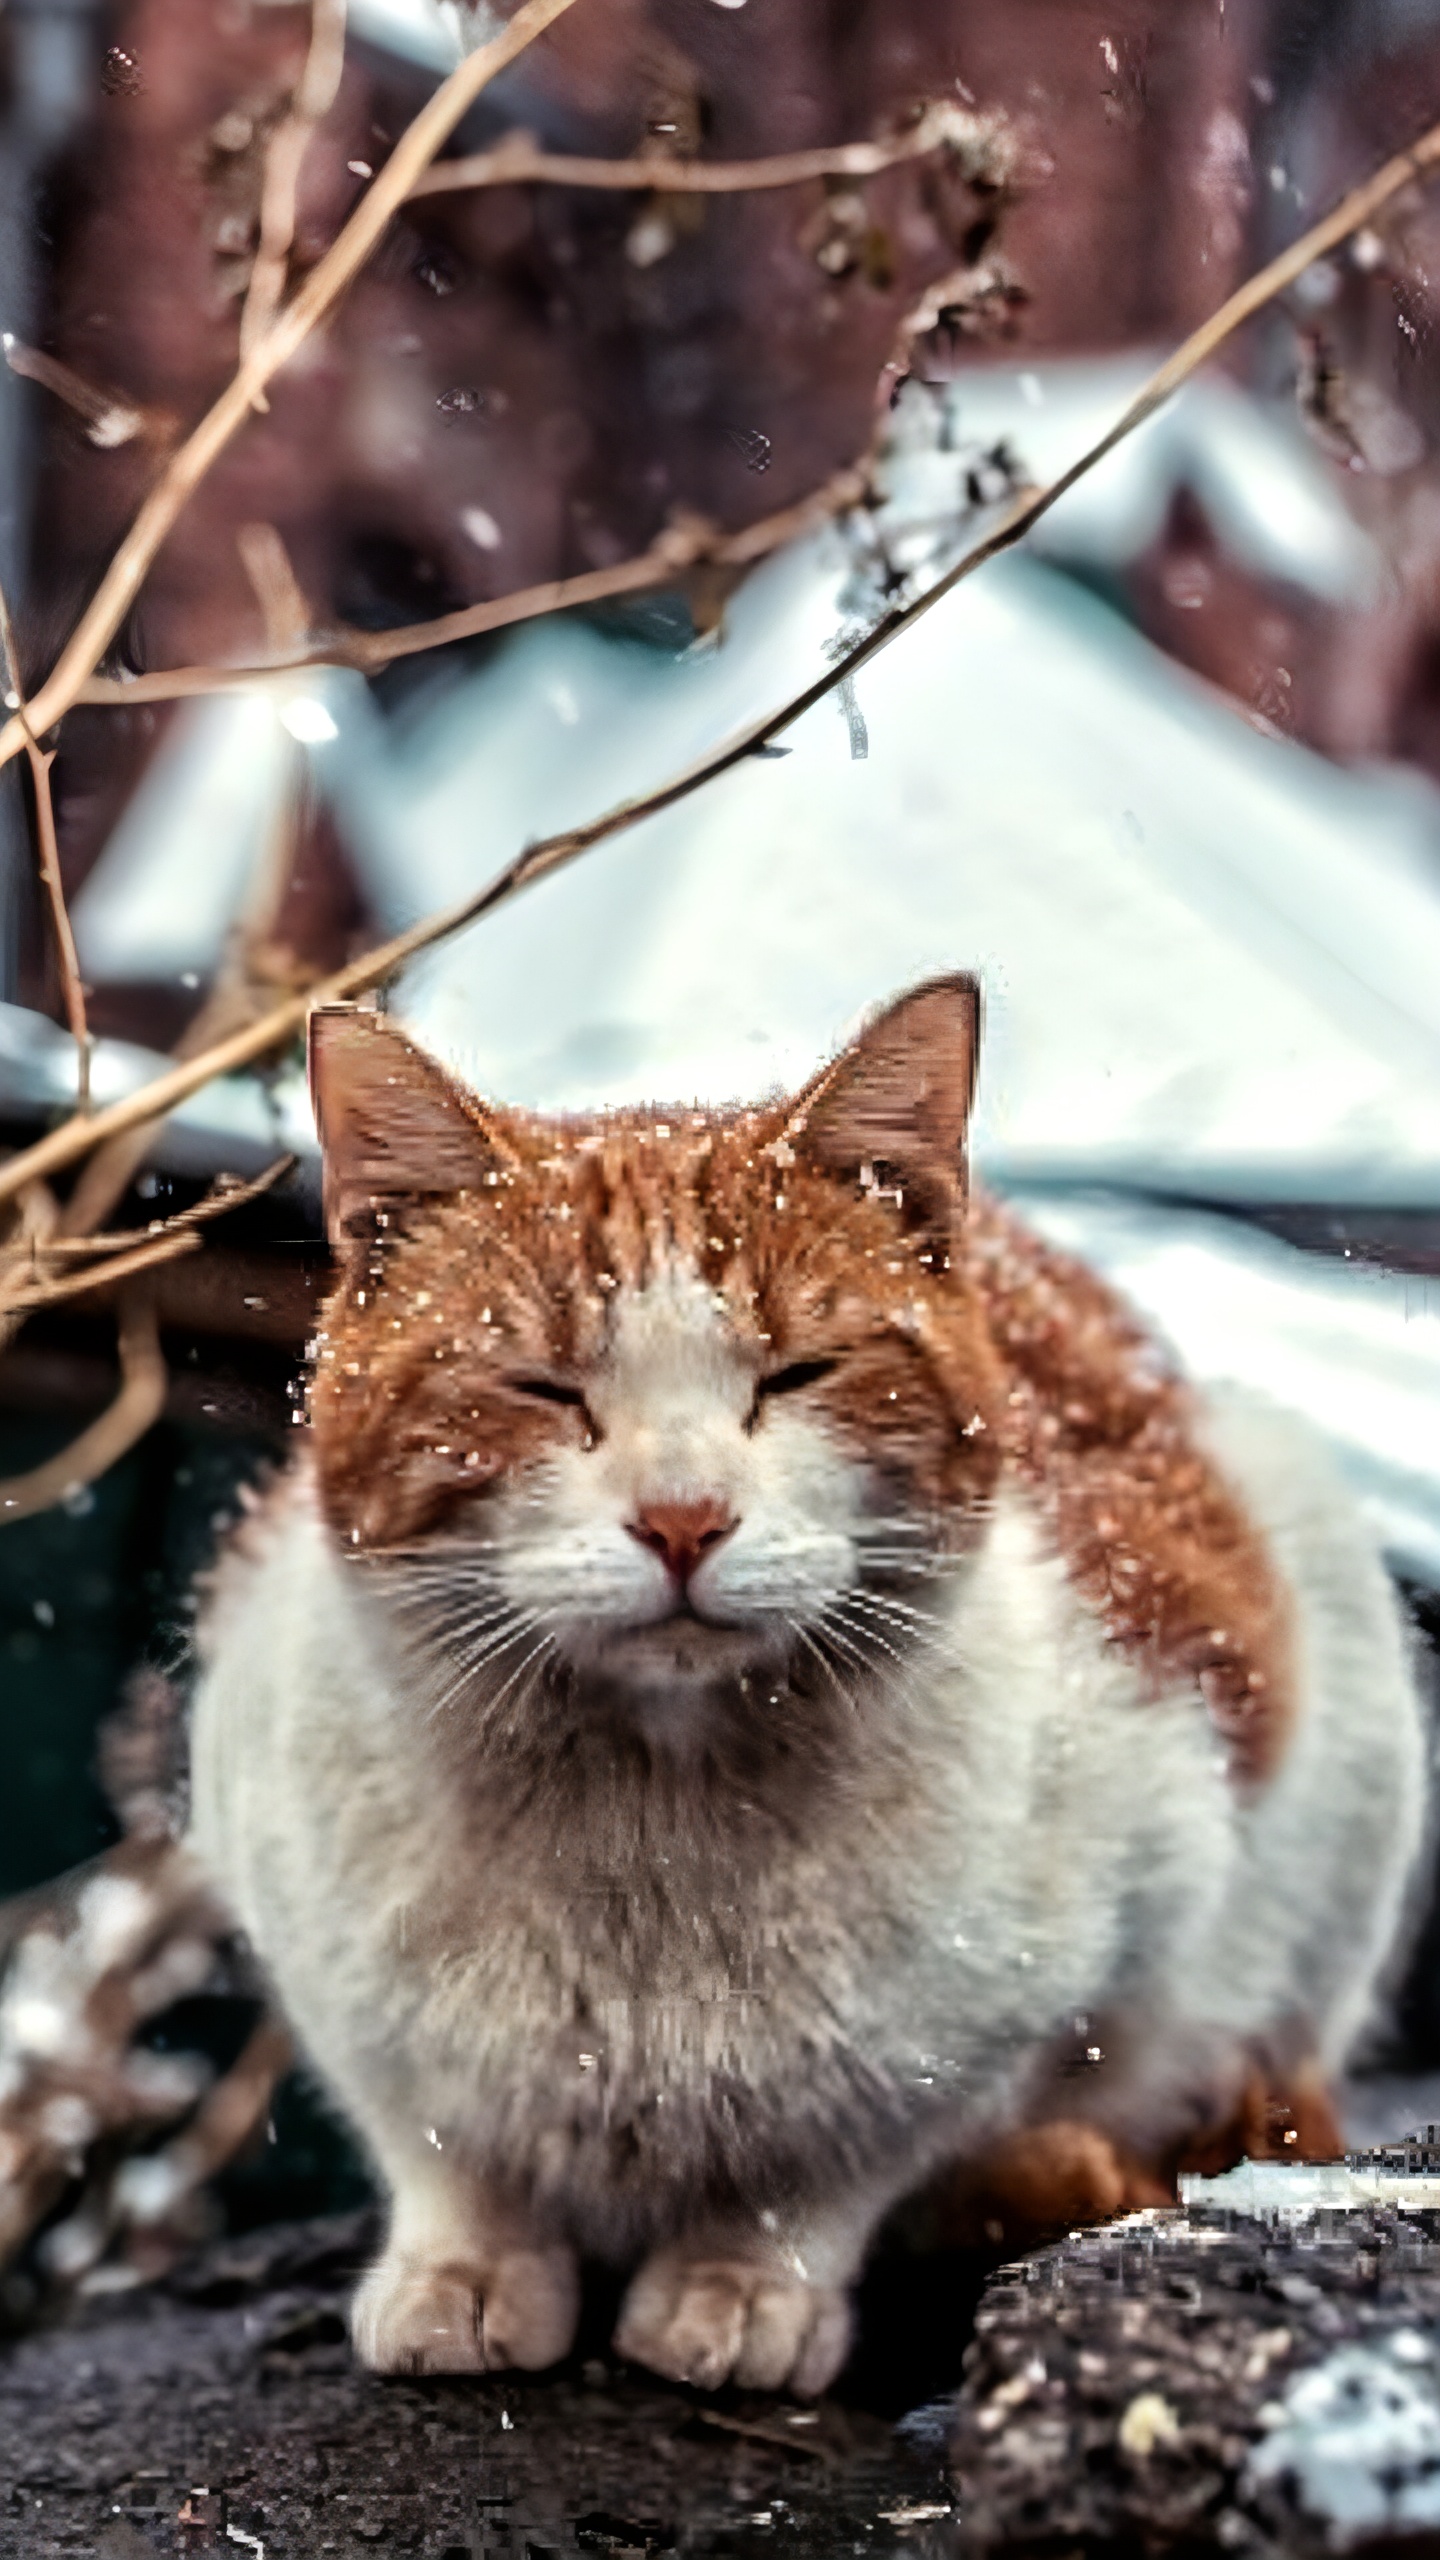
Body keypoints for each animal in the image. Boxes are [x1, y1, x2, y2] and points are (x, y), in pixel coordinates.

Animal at [188, 977, 1424, 2396]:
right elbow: (444, 2143)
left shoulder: (1081, 1950)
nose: (682, 1518)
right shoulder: (321, 1950)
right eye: (543, 1388)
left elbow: (837, 2161)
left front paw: (742, 2282)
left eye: (797, 1377)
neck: (651, 1831)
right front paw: (470, 2266)